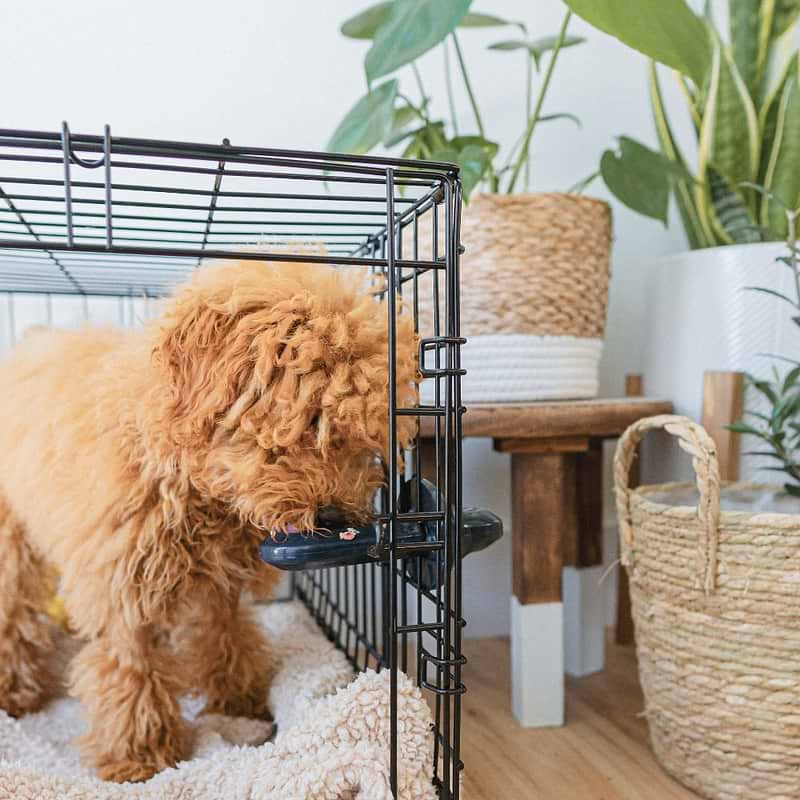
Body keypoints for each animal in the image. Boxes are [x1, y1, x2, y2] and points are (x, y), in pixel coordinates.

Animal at [1, 260, 418, 780]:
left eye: (365, 437)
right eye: (310, 423)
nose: (335, 516)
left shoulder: (222, 583)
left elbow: (226, 636)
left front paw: (239, 702)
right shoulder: (122, 581)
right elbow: (132, 667)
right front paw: (139, 757)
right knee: (13, 607)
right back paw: (15, 691)